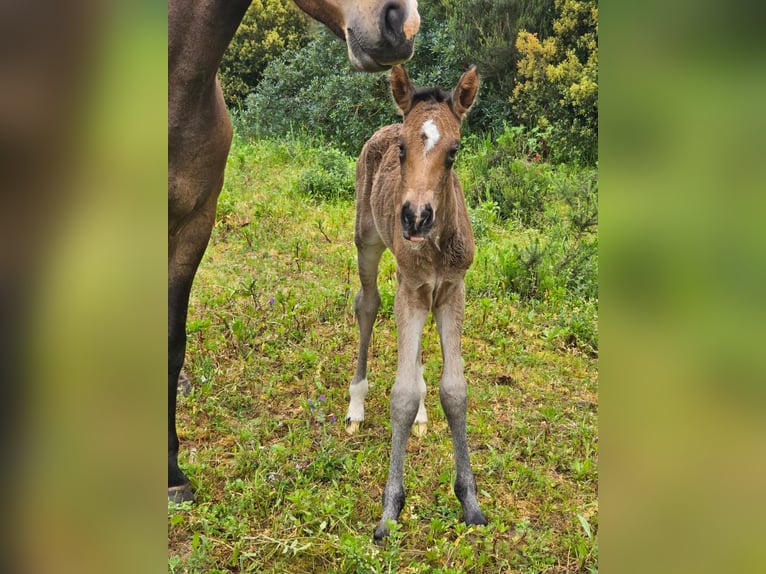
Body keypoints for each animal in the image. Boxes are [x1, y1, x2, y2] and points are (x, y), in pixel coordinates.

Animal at [346, 66, 486, 540]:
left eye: (454, 151)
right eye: (403, 149)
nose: (415, 217)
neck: (436, 245)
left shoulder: (451, 291)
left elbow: (455, 391)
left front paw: (470, 502)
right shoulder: (410, 289)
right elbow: (402, 395)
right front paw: (390, 509)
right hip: (368, 240)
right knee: (367, 303)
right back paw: (355, 405)